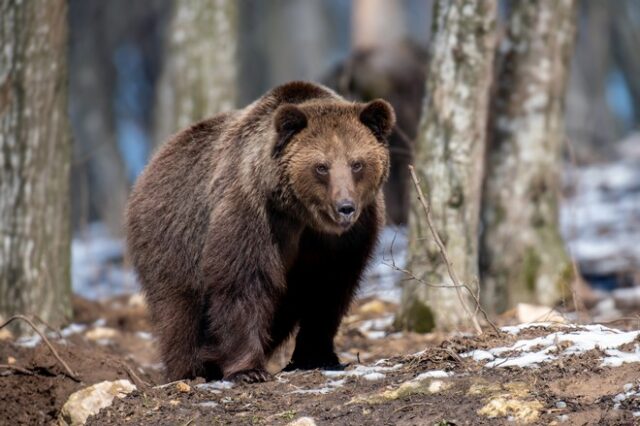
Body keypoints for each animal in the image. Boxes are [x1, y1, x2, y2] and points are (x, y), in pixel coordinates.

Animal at [125, 80, 396, 382]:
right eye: (321, 167)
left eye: (357, 163)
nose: (345, 207)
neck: (303, 216)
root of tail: (150, 165)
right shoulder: (254, 213)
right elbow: (243, 281)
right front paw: (248, 369)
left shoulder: (348, 237)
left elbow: (329, 289)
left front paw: (318, 355)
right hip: (174, 236)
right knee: (179, 309)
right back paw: (191, 368)